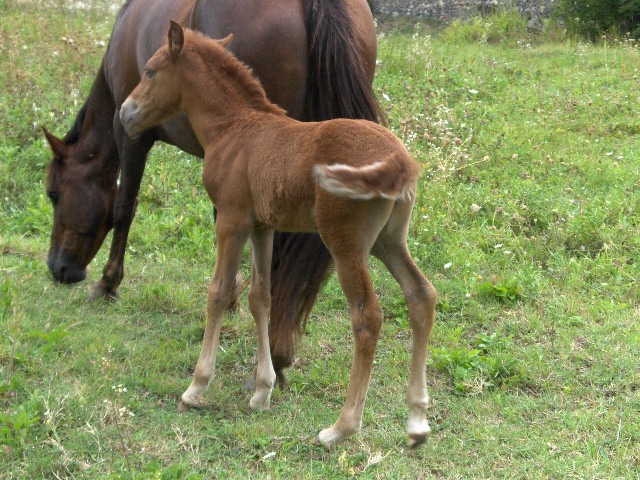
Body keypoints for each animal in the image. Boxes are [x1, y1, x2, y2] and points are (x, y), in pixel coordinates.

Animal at [42, 0, 382, 386]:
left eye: (54, 193)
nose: (58, 267)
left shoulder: (131, 135)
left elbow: (124, 207)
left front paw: (108, 283)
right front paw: (232, 296)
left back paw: (273, 354)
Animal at [120, 22, 438, 448]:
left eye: (150, 71)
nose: (125, 112)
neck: (233, 127)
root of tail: (401, 160)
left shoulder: (231, 220)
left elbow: (219, 292)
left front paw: (197, 388)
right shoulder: (262, 226)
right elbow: (261, 297)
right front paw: (262, 391)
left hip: (347, 245)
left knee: (367, 317)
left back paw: (341, 427)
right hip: (389, 241)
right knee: (421, 295)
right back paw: (417, 422)